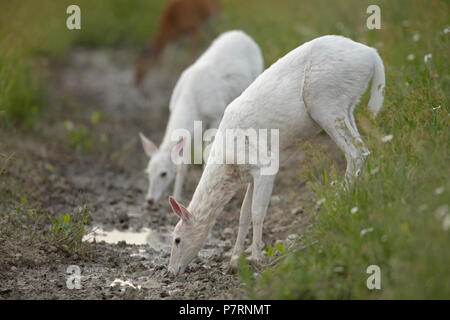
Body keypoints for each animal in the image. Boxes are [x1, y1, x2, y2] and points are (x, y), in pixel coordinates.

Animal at [139, 30, 262, 205]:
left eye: (164, 173)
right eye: (148, 172)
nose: (149, 200)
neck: (190, 100)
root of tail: (242, 34)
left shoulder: (216, 114)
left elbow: (208, 154)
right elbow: (183, 163)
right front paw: (177, 197)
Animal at [167, 35, 384, 276]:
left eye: (177, 239)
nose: (171, 271)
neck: (229, 164)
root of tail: (372, 55)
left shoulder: (266, 163)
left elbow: (257, 211)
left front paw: (256, 259)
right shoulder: (251, 174)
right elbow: (243, 214)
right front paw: (234, 261)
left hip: (325, 100)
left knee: (355, 151)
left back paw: (339, 200)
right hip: (347, 106)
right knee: (363, 148)